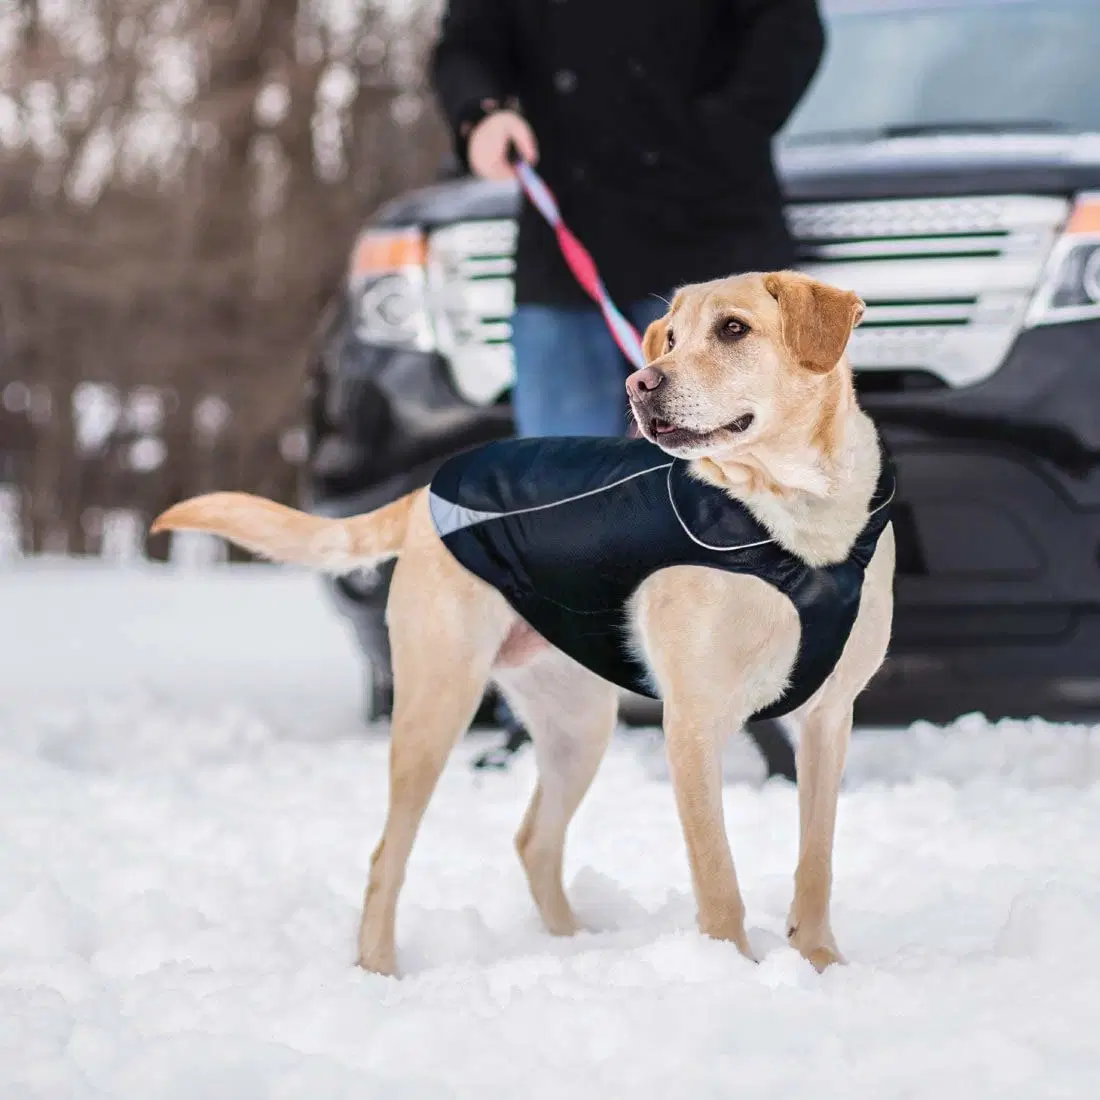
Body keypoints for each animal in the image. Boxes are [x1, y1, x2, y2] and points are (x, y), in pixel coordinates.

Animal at [152, 270, 893, 976]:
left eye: (734, 329)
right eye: (672, 339)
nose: (640, 381)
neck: (792, 518)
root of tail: (427, 491)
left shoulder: (830, 720)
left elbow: (817, 862)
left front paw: (819, 961)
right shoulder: (694, 721)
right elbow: (717, 876)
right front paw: (730, 970)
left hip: (578, 724)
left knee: (534, 839)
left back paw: (573, 947)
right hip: (436, 704)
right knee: (387, 853)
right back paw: (379, 969)